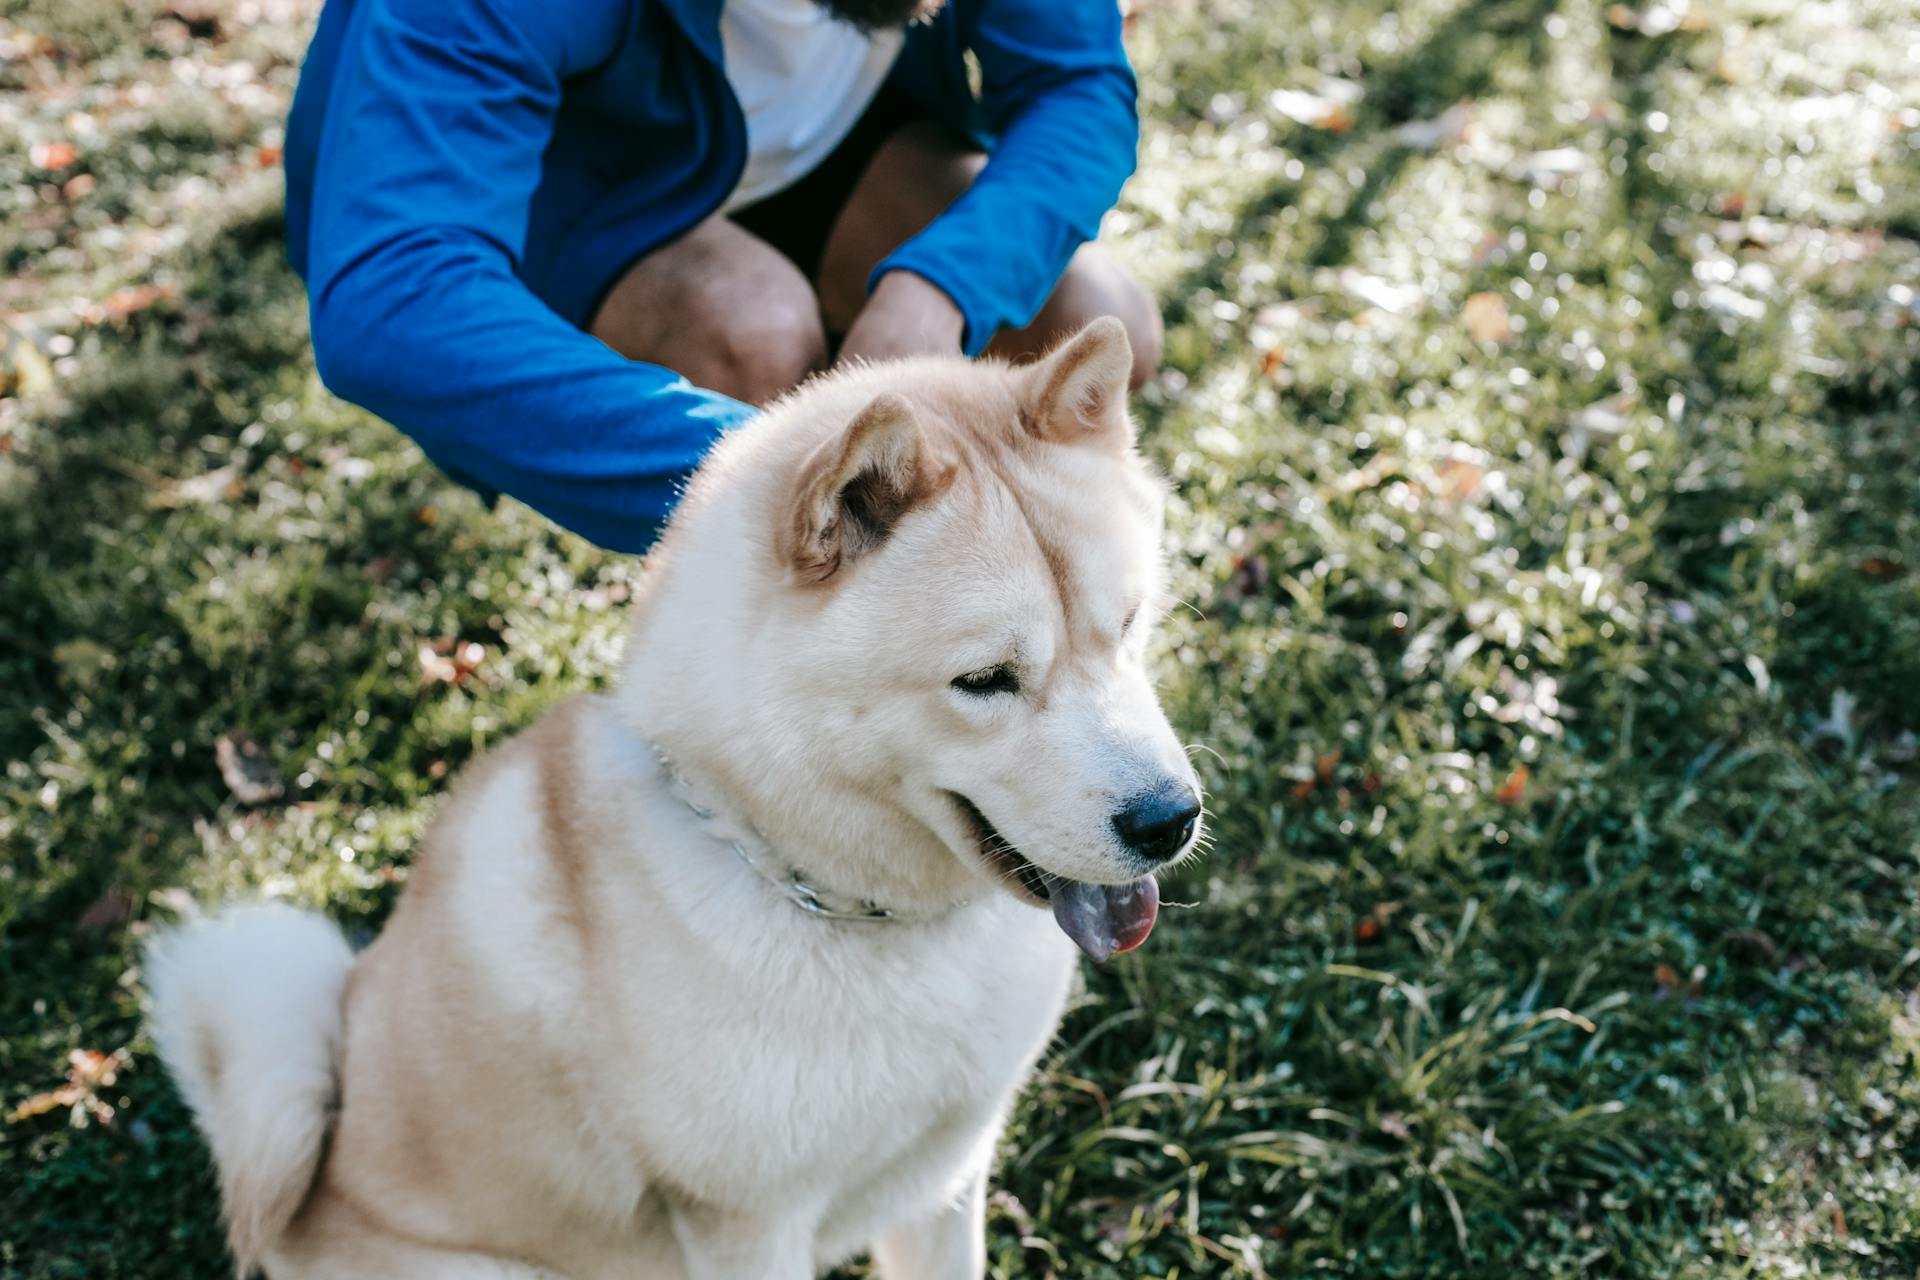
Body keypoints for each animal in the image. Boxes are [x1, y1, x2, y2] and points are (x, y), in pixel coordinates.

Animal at [149, 318, 1198, 1280]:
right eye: (983, 681)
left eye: (1127, 625)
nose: (1170, 819)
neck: (829, 897)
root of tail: (306, 1206)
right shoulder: (744, 1227)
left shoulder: (942, 1185)